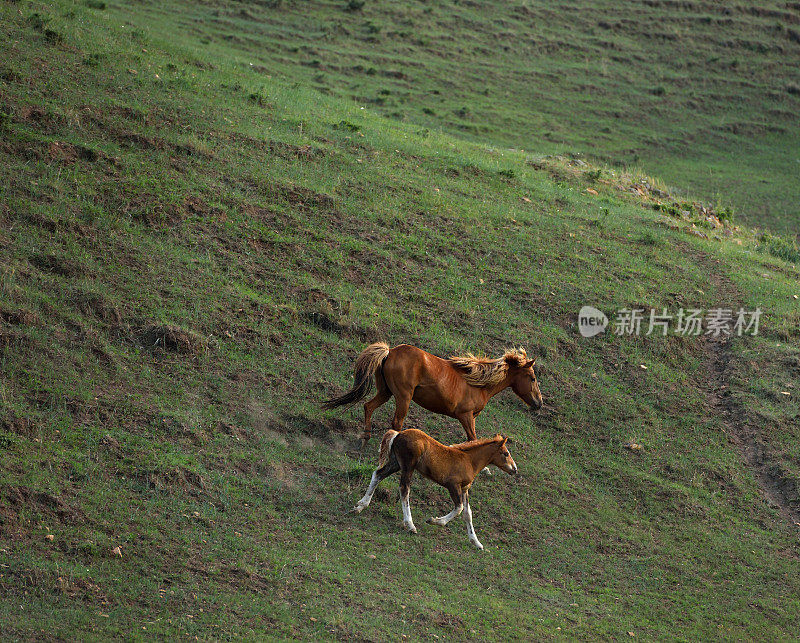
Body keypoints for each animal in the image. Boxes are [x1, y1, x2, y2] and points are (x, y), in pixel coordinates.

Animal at [322, 344, 540, 446]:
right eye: (532, 378)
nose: (539, 403)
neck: (479, 384)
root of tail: (390, 351)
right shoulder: (465, 416)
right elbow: (473, 438)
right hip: (403, 397)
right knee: (396, 422)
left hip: (386, 392)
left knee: (368, 406)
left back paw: (365, 438)